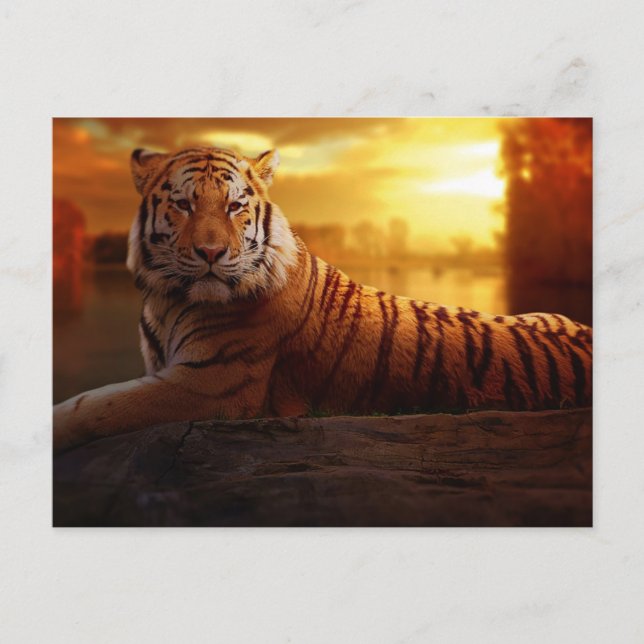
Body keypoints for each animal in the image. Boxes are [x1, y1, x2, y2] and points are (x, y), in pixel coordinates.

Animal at [53, 145, 592, 451]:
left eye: (235, 206)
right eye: (183, 204)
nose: (211, 253)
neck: (166, 300)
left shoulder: (211, 385)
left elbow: (96, 405)